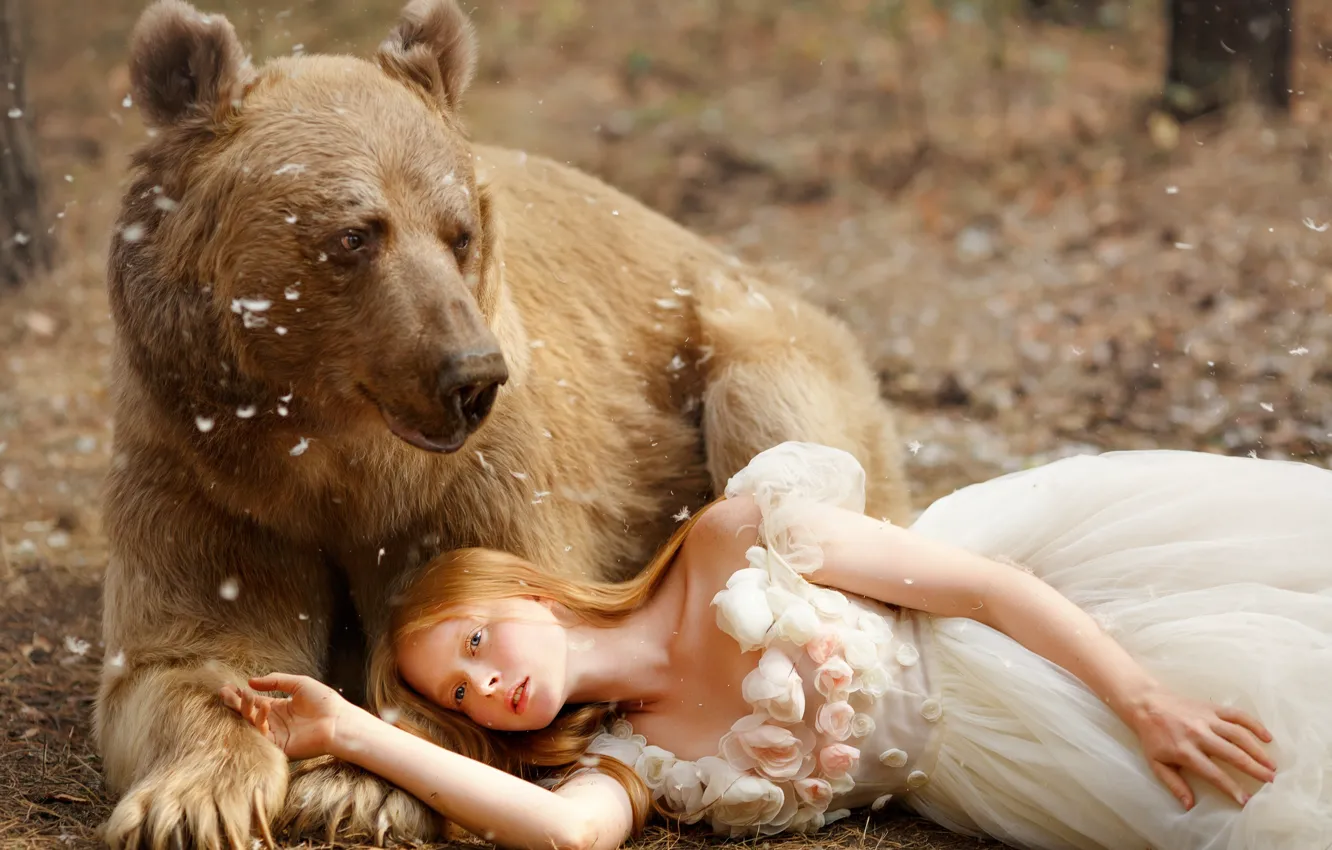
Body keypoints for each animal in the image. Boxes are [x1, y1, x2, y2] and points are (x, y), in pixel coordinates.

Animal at [94, 0, 913, 847]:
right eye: (354, 234)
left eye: (459, 233)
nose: (470, 375)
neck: (329, 453)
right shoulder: (202, 471)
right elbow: (187, 652)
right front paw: (190, 802)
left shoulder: (473, 480)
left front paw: (355, 788)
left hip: (744, 343)